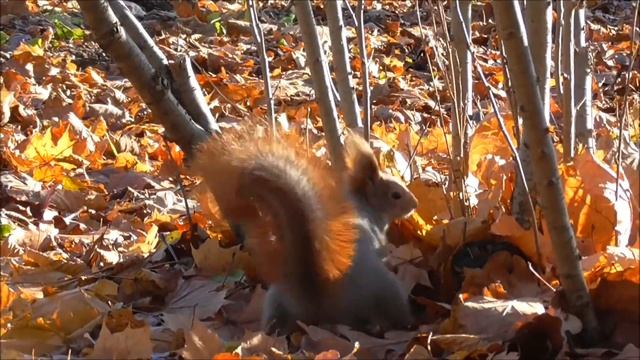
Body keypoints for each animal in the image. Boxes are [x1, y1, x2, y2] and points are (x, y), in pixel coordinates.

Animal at [192, 126, 418, 334]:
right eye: (395, 194)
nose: (414, 204)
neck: (362, 201)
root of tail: (317, 301)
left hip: (276, 297)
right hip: (387, 290)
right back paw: (408, 323)